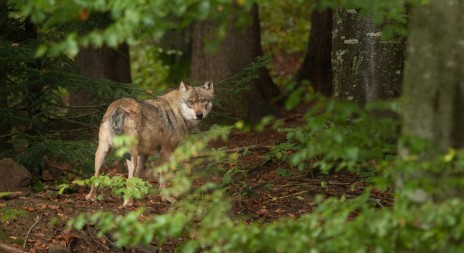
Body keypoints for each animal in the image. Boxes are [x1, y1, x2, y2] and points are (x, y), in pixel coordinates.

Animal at [85, 81, 214, 206]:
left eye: (204, 100)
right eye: (191, 102)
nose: (199, 114)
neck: (177, 111)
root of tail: (119, 107)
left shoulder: (144, 155)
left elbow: (138, 177)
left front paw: (139, 196)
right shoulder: (165, 153)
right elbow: (163, 179)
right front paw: (166, 198)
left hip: (103, 152)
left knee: (95, 177)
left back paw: (91, 198)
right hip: (131, 156)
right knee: (128, 179)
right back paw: (128, 203)